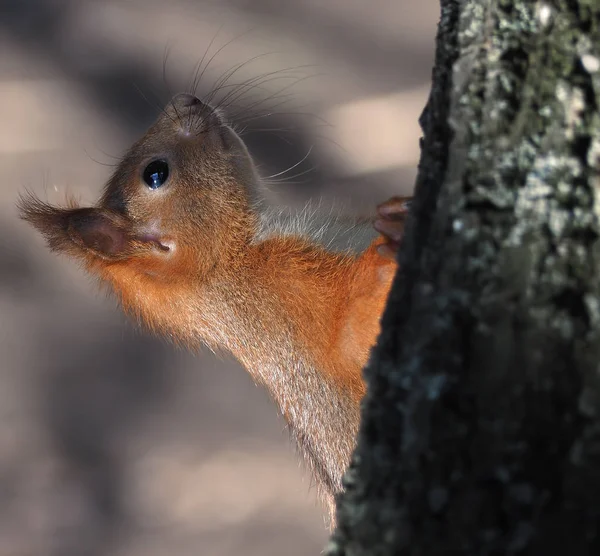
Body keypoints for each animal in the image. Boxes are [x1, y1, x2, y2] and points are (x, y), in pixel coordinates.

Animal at [19, 92, 412, 524]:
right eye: (155, 173)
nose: (185, 99)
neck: (235, 255)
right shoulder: (287, 301)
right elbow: (352, 338)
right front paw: (388, 246)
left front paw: (397, 209)